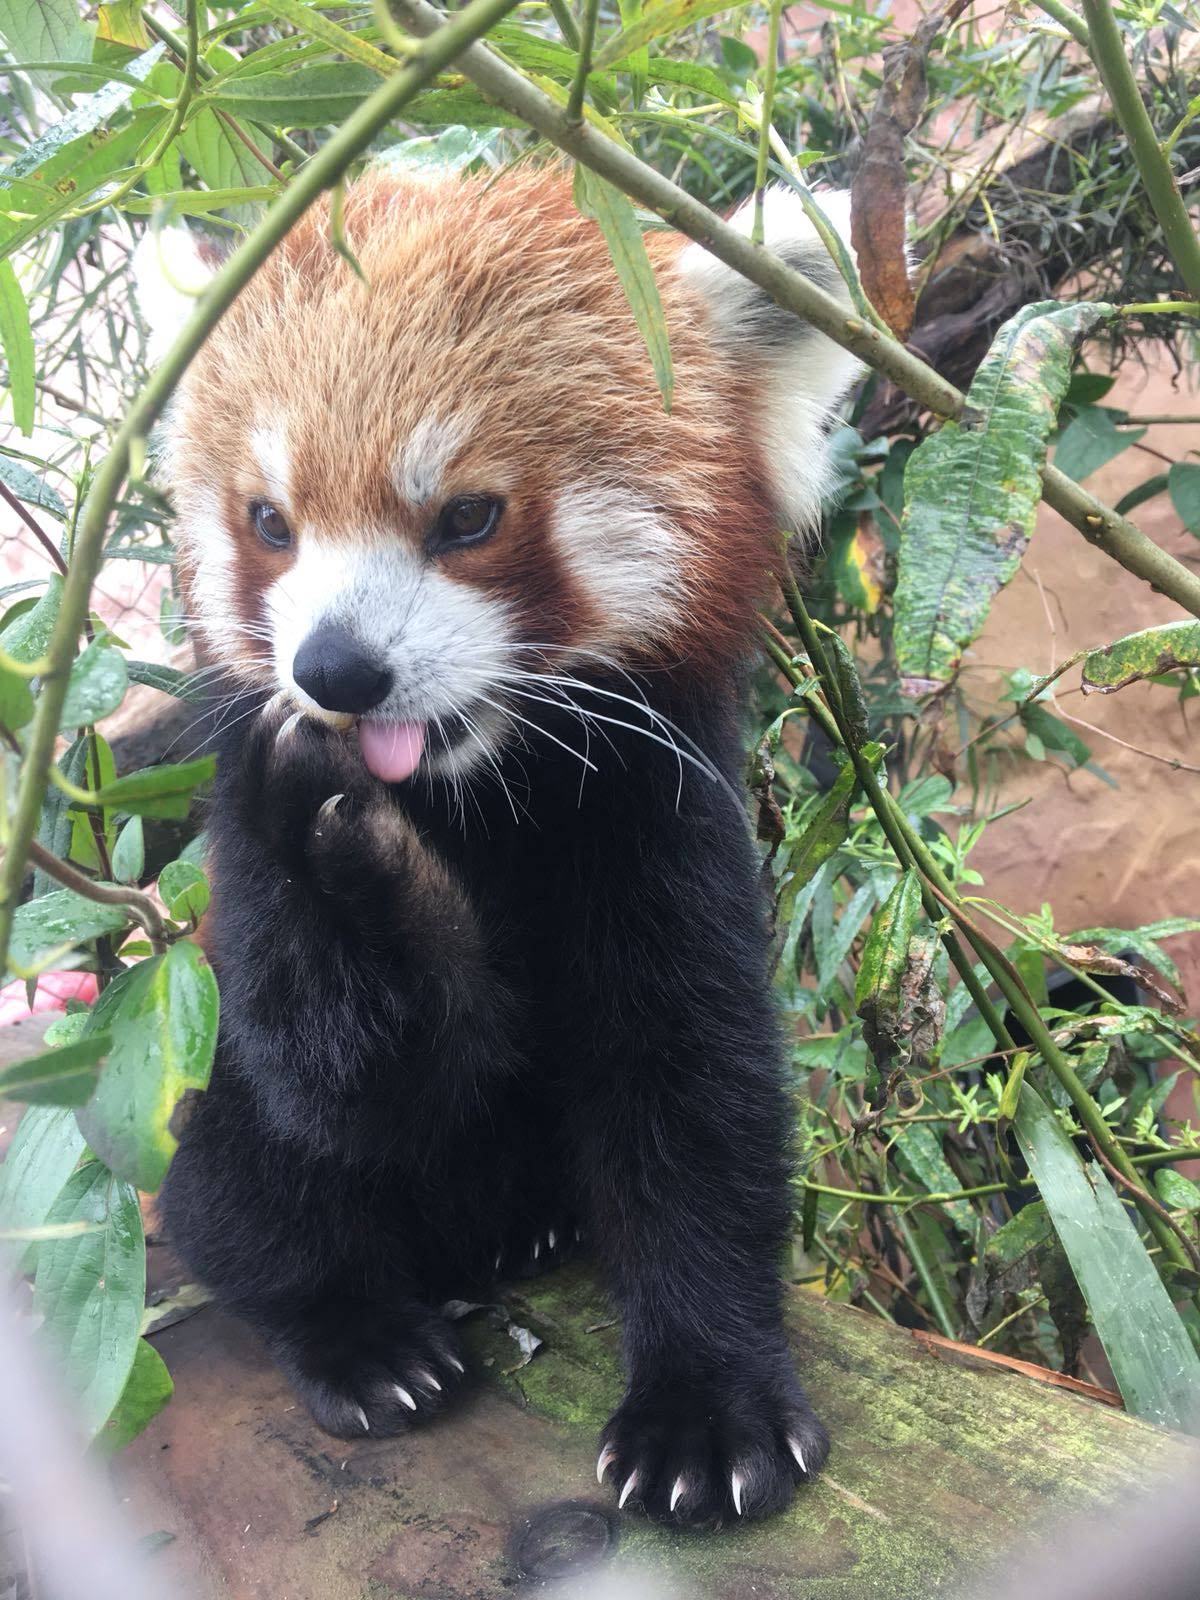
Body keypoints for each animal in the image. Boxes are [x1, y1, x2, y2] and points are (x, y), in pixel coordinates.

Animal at [152, 159, 864, 1523]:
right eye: (270, 521)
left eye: (469, 516)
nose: (334, 671)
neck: (472, 797)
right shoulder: (240, 830)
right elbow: (337, 1084)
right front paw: (360, 868)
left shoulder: (662, 815)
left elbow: (694, 1083)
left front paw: (707, 1403)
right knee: (232, 1155)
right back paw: (360, 1337)